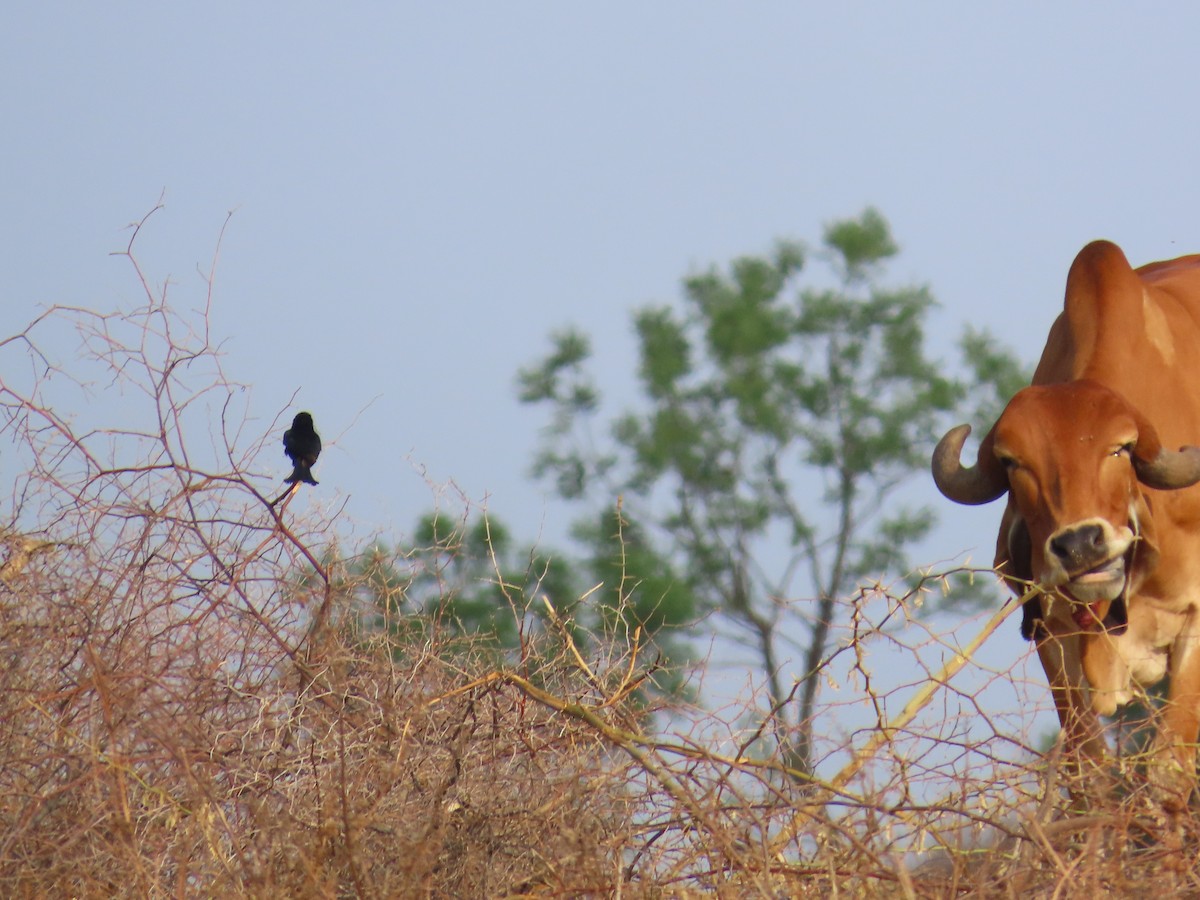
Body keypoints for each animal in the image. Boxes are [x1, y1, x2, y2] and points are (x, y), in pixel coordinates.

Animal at [931, 240, 1200, 796]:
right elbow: (1088, 773)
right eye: (1013, 462)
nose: (1080, 545)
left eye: (1121, 448)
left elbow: (1168, 770)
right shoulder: (1050, 630)